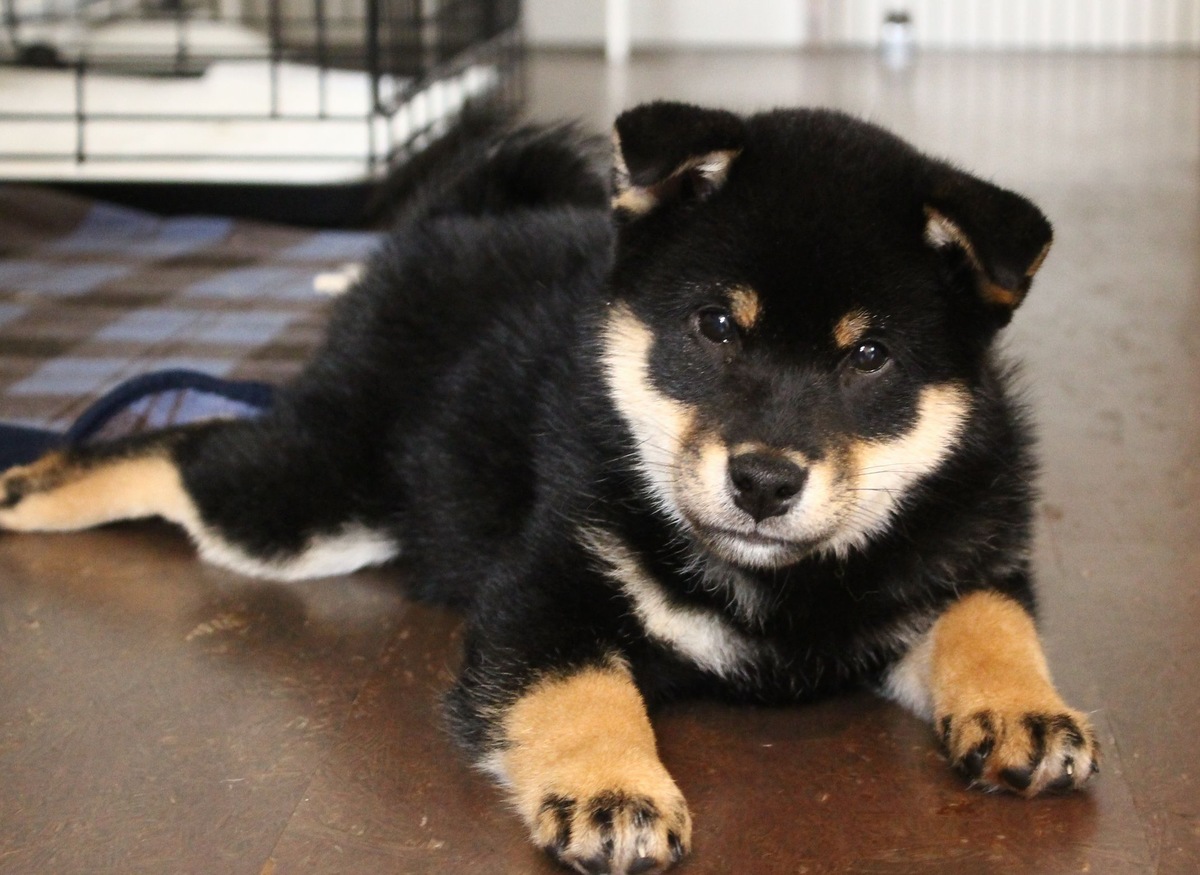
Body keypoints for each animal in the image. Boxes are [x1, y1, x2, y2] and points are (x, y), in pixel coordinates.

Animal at [0, 103, 1099, 873]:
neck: (778, 589)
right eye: (714, 325)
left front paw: (1027, 711)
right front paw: (614, 789)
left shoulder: (958, 554)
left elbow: (989, 618)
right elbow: (582, 688)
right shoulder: (547, 587)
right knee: (180, 445)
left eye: (869, 355)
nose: (764, 479)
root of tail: (445, 226)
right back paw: (31, 481)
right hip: (313, 499)